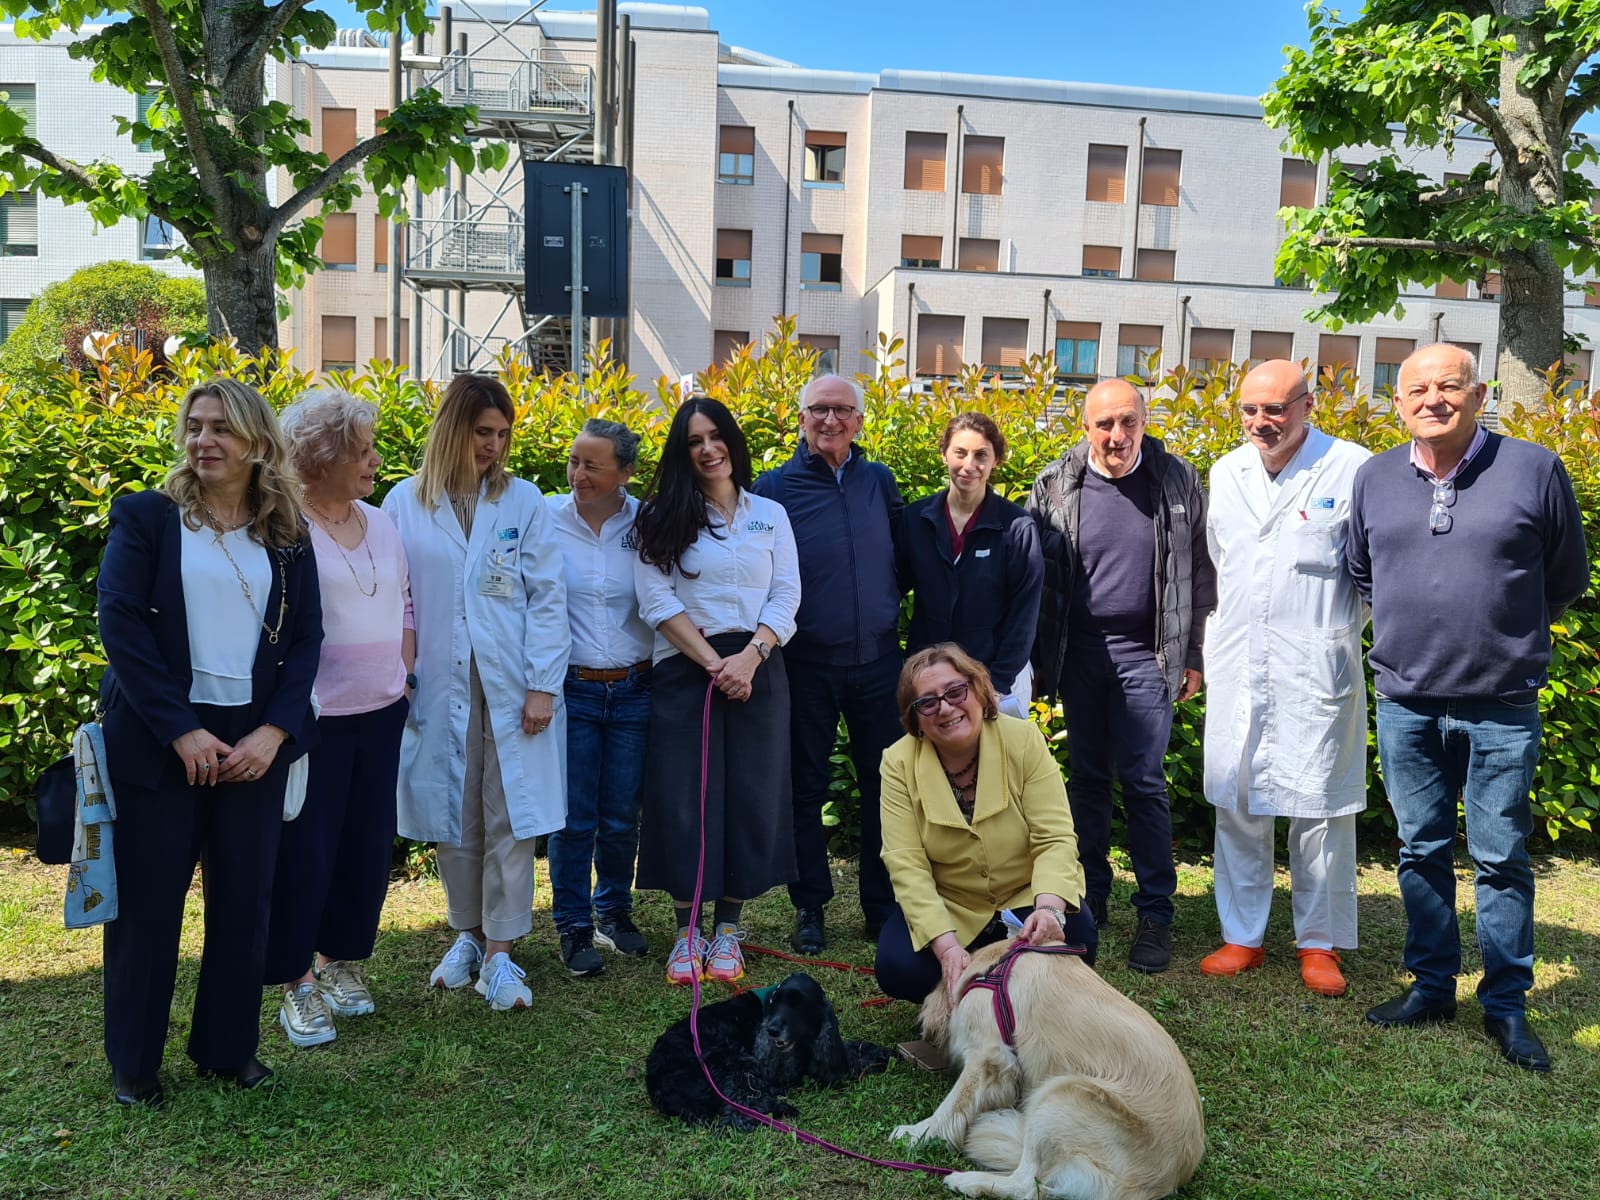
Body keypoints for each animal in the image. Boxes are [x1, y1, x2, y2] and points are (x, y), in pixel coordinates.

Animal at [643, 972, 896, 1132]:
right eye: (776, 1003)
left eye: (797, 1004)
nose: (772, 1029)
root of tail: (656, 1083)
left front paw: (883, 1054)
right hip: (735, 1060)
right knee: (740, 1112)